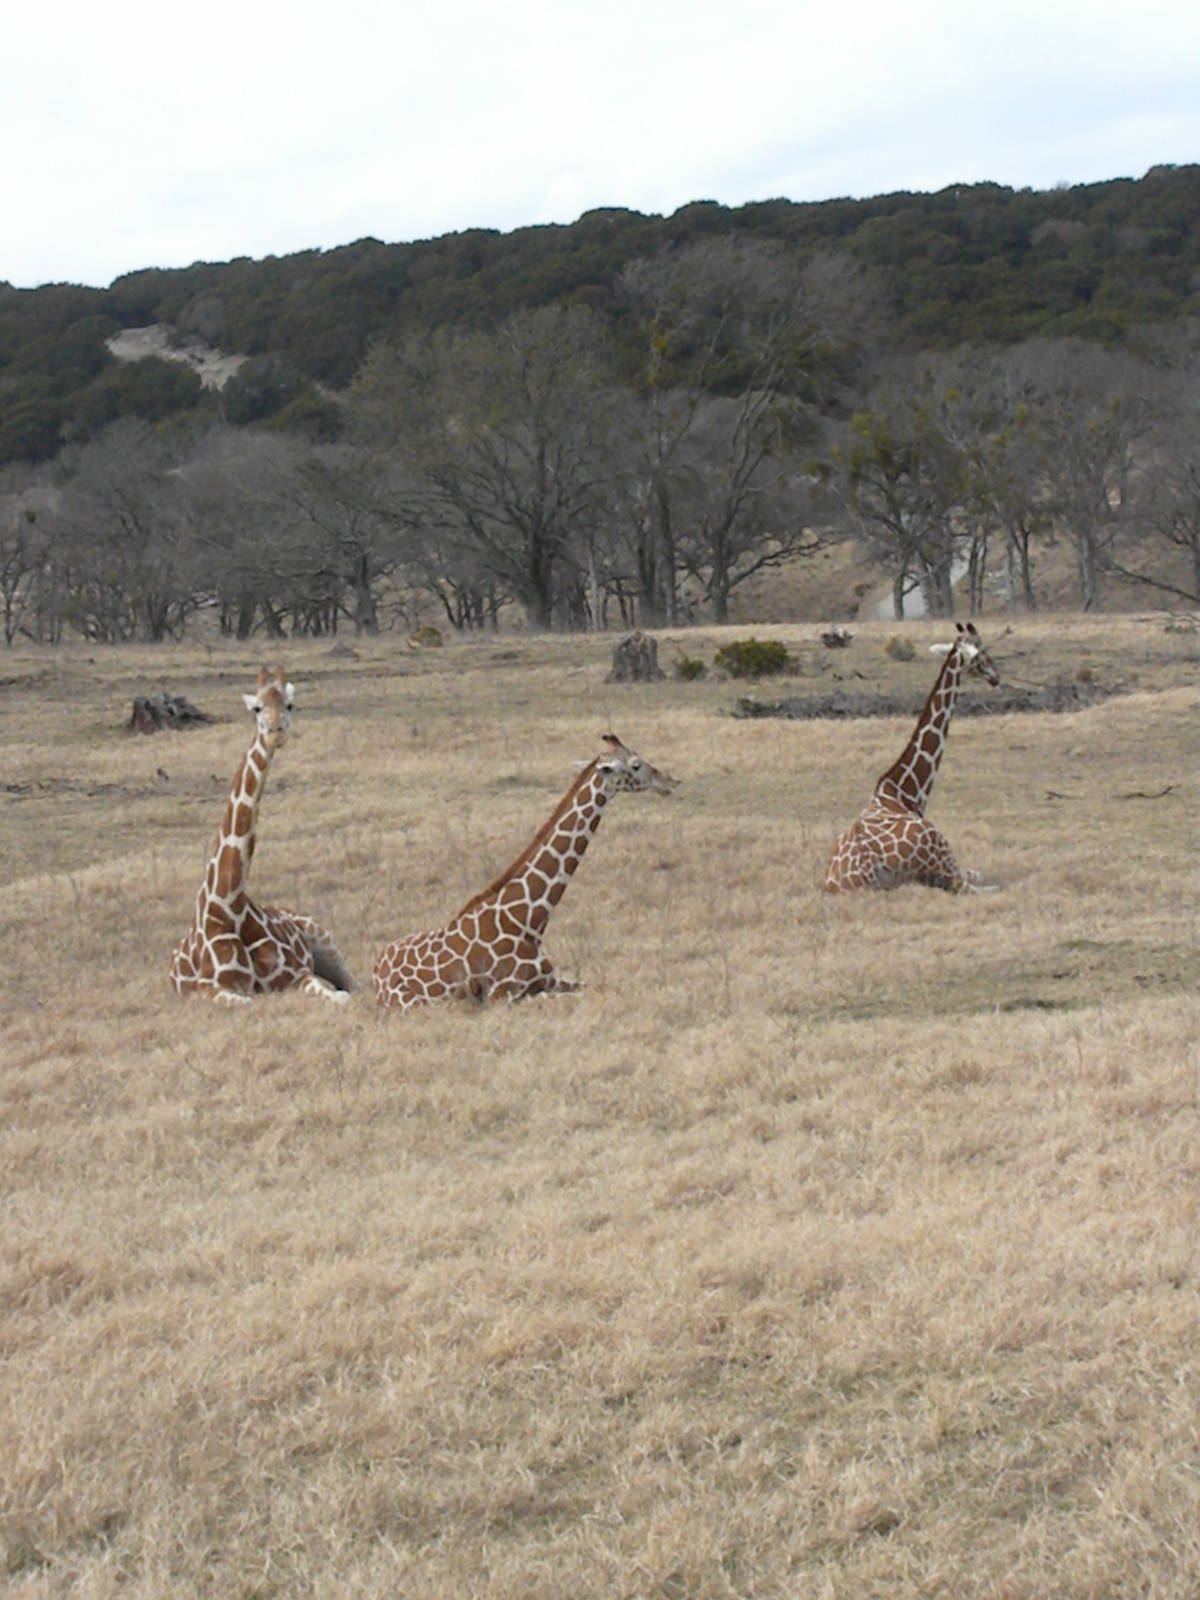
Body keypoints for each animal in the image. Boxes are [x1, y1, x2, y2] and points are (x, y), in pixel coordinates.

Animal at [169, 668, 355, 1004]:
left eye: (289, 705)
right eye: (256, 709)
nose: (275, 732)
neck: (229, 905)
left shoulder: (294, 976)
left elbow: (337, 995)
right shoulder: (211, 989)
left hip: (323, 938)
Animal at [374, 733, 678, 1011]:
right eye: (636, 765)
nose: (670, 782)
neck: (530, 920)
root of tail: (376, 970)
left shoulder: (554, 980)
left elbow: (600, 985)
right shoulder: (501, 996)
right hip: (416, 1003)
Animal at [825, 621, 1000, 893]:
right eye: (981, 657)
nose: (996, 677)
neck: (904, 792)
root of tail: (867, 870)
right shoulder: (950, 867)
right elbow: (978, 876)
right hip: (938, 843)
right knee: (974, 888)